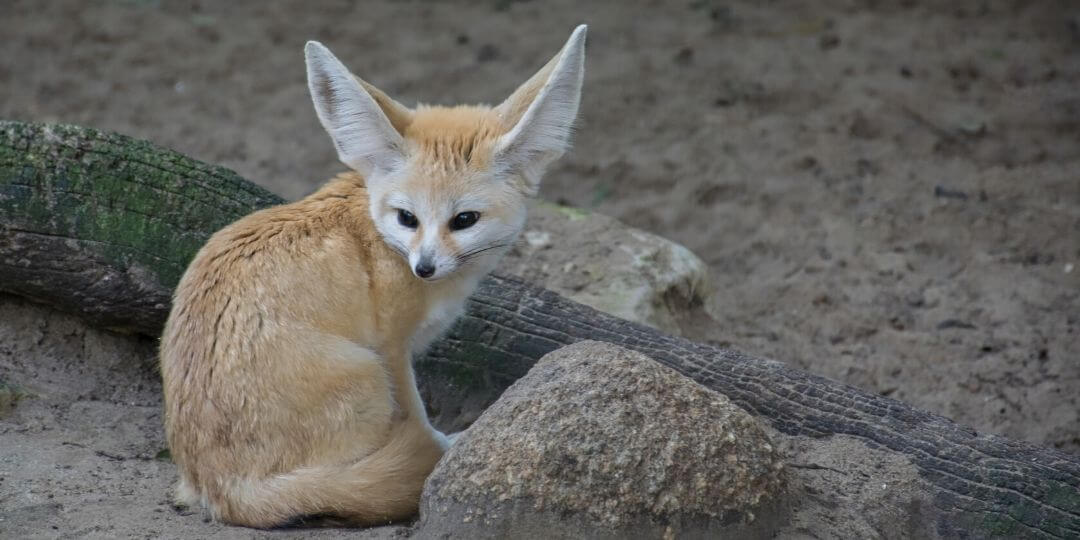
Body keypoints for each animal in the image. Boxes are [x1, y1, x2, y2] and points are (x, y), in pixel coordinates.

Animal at [159, 25, 586, 528]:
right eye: (407, 217)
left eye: (464, 220)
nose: (424, 267)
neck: (377, 226)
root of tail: (220, 489)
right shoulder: (393, 347)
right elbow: (420, 421)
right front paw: (445, 449)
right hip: (367, 375)